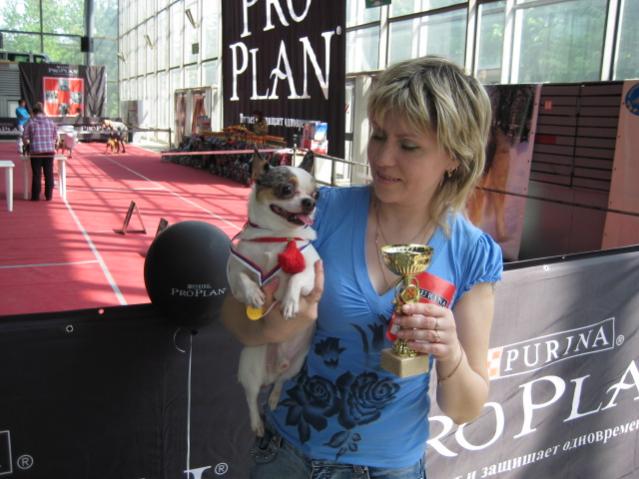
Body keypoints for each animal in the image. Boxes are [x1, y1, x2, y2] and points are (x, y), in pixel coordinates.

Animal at [227, 149, 319, 436]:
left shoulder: (310, 275)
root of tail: (275, 368)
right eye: (286, 189)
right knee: (251, 397)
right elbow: (243, 279)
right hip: (251, 364)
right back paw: (257, 422)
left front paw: (289, 302)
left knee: (279, 383)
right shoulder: (234, 272)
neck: (276, 237)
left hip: (296, 366)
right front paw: (255, 295)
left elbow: (296, 278)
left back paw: (276, 398)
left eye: (317, 194)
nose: (309, 203)